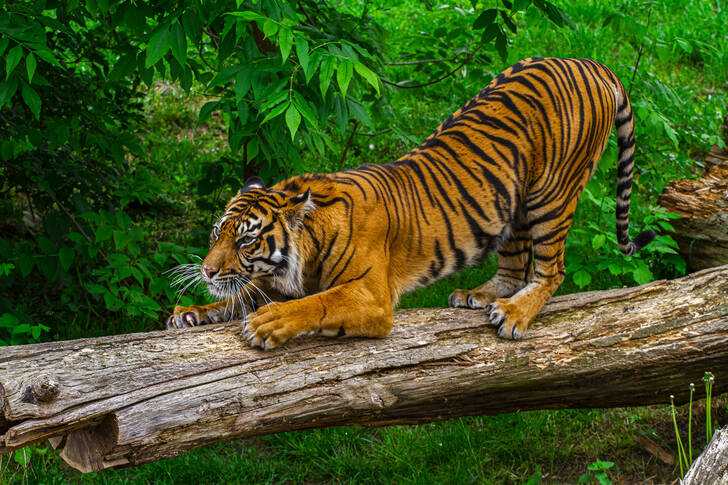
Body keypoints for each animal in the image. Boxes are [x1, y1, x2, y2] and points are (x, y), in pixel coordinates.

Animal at [168, 57, 656, 348]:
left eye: (247, 241)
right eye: (217, 233)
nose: (206, 271)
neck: (305, 250)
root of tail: (592, 62)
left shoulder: (370, 294)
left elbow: (313, 304)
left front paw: (267, 323)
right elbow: (241, 296)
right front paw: (190, 312)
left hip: (551, 194)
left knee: (551, 270)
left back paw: (515, 314)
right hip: (510, 203)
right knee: (515, 268)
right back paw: (478, 295)